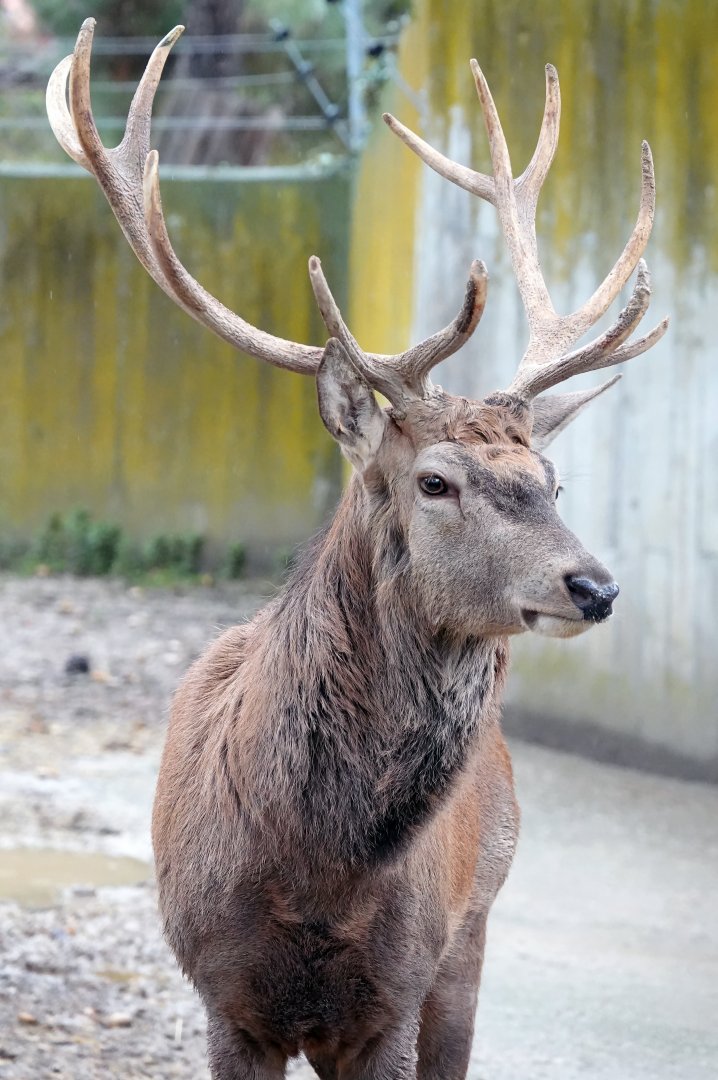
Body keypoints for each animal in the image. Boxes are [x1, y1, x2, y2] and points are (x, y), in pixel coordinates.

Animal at [47, 20, 667, 1080]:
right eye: (435, 482)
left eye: (553, 482)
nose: (594, 585)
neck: (314, 877)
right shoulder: (222, 991)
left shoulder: (398, 990)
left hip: (474, 932)